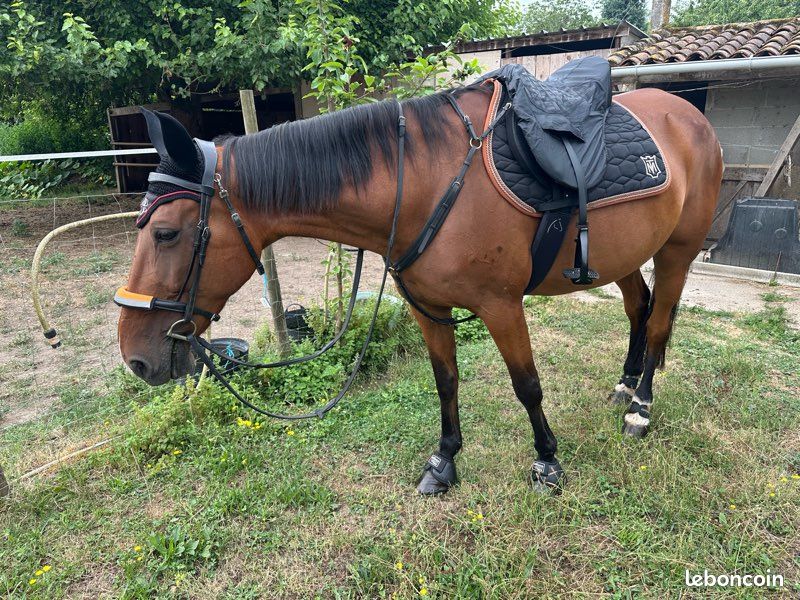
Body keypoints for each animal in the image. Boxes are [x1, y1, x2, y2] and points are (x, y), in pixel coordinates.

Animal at [116, 80, 722, 495]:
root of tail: (689, 115)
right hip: (625, 256)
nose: (136, 357)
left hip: (677, 252)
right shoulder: (428, 308)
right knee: (639, 310)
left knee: (660, 321)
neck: (425, 183)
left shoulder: (501, 306)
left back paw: (640, 407)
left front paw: (548, 462)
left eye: (166, 233)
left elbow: (527, 386)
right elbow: (445, 382)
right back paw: (624, 385)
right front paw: (445, 462)